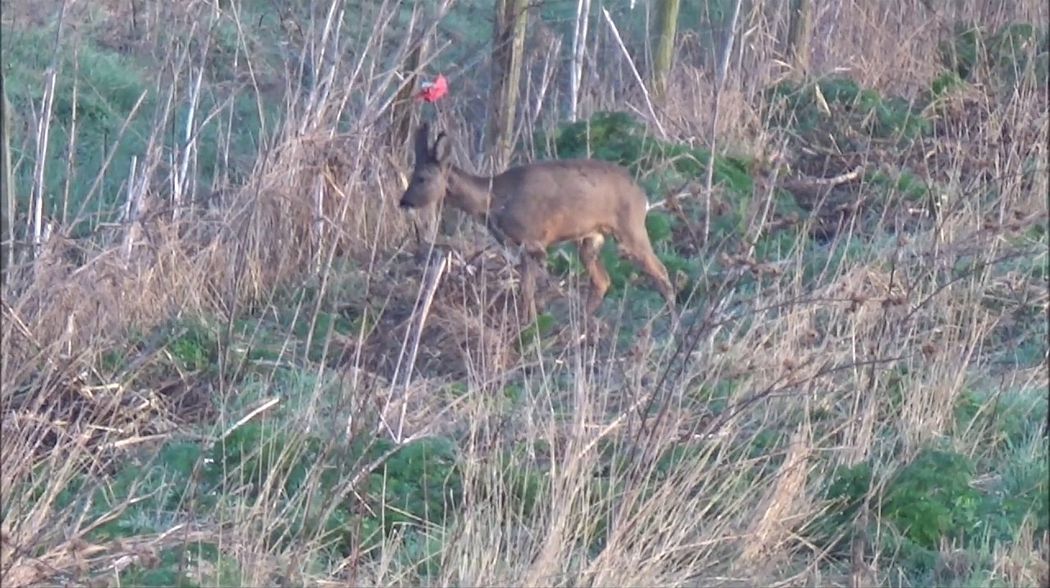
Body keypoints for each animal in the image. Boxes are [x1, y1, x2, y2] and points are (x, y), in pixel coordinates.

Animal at [396, 121, 676, 319]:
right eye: (411, 174)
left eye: (421, 178)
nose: (404, 201)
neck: (493, 200)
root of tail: (642, 195)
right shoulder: (519, 246)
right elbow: (526, 289)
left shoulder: (532, 241)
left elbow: (530, 289)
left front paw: (530, 323)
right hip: (590, 238)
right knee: (602, 281)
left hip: (631, 227)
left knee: (660, 271)